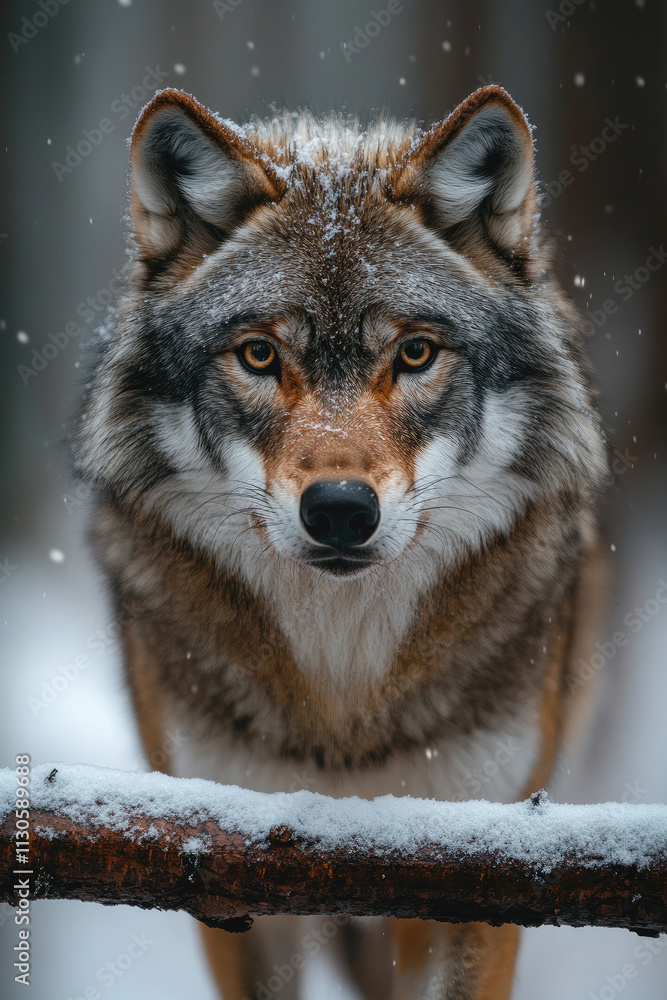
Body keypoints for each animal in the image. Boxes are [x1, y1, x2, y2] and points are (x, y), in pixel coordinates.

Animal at [73, 85, 610, 999]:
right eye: (258, 356)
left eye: (415, 353)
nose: (337, 511)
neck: (343, 711)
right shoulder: (220, 866)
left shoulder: (488, 866)